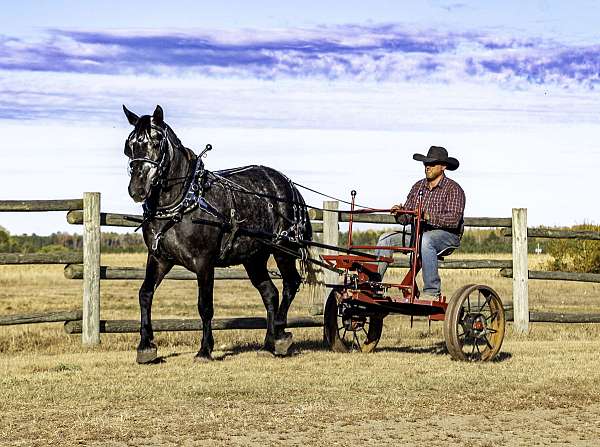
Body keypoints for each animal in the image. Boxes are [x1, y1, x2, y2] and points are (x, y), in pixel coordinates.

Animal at [124, 105, 316, 364]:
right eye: (130, 144)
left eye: (156, 142)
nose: (137, 188)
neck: (184, 200)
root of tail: (289, 184)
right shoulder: (159, 257)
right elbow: (145, 294)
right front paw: (145, 346)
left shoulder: (204, 262)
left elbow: (205, 305)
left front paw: (205, 350)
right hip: (254, 257)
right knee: (270, 293)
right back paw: (268, 343)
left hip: (284, 249)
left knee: (290, 284)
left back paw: (280, 333)